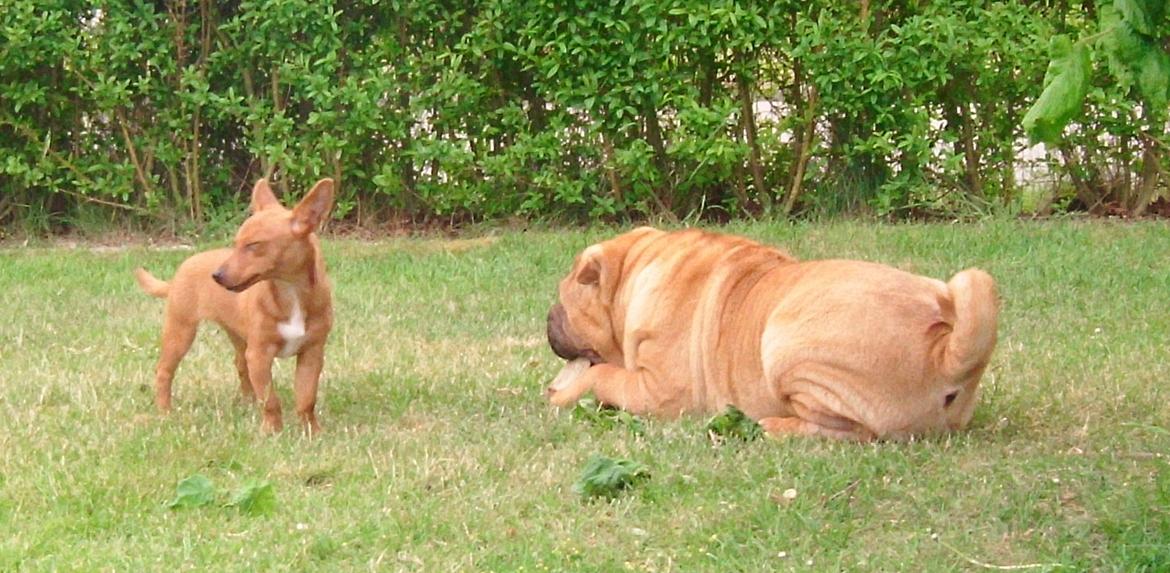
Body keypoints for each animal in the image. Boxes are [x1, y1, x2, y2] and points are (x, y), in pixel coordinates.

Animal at [545, 225, 996, 442]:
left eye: (563, 302)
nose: (548, 318)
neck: (633, 273)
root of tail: (945, 350)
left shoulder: (659, 391)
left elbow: (603, 376)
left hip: (785, 343)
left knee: (851, 431)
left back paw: (770, 427)